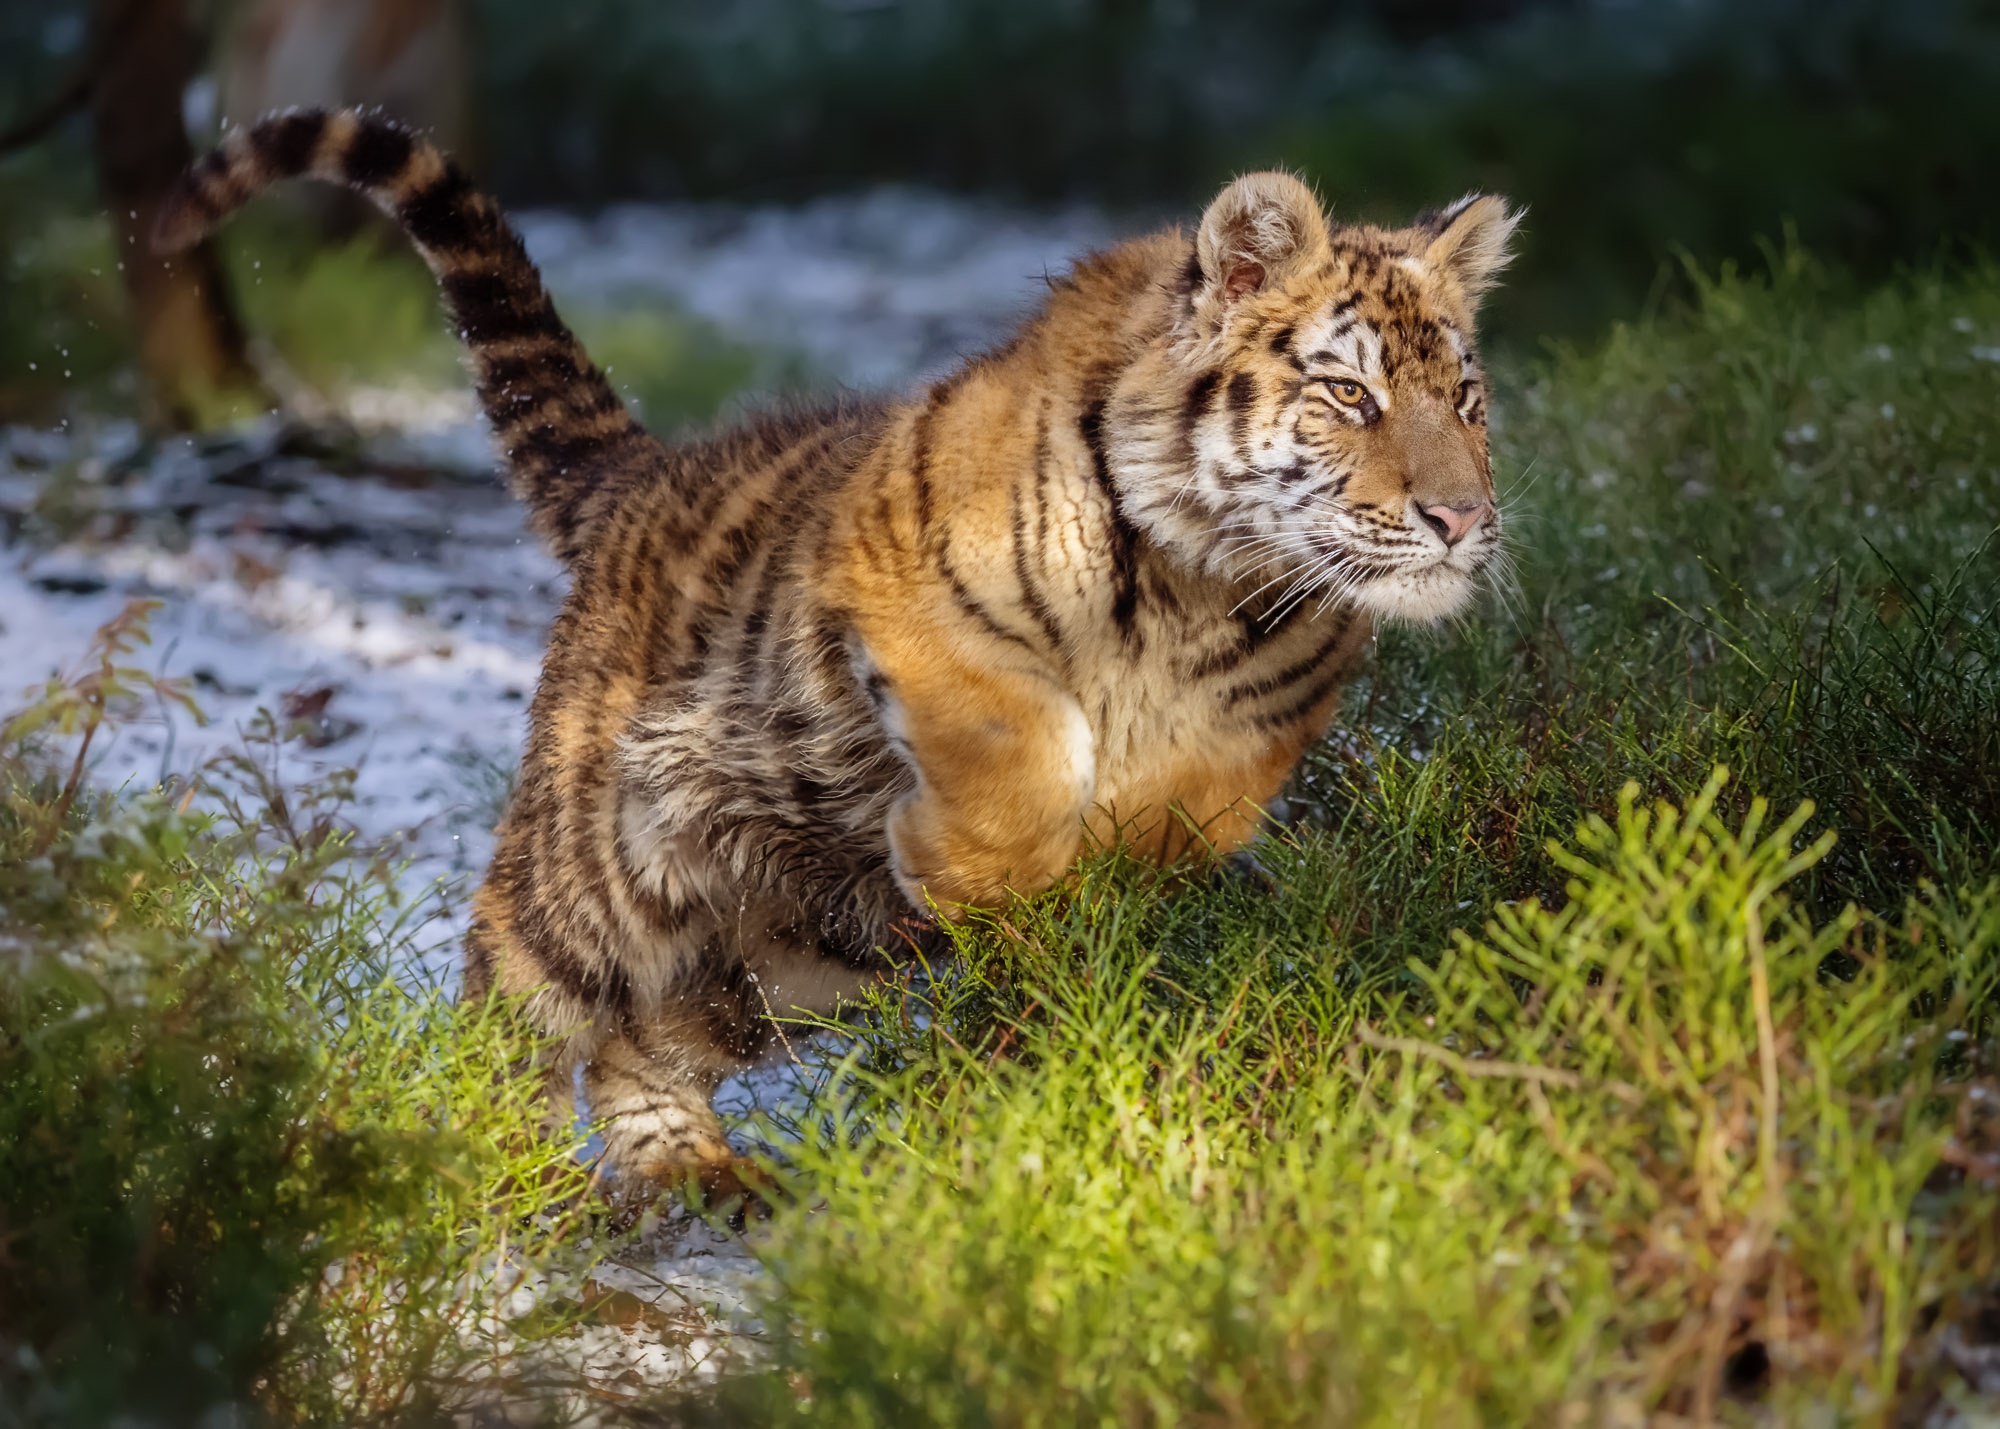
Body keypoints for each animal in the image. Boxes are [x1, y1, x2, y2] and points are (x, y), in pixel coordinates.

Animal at [164, 108, 1512, 1192]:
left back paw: (694, 1175)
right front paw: (988, 876)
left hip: (796, 948)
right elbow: (1013, 736)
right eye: (1350, 397)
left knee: (641, 1044)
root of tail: (646, 479)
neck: (1206, 585)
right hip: (595, 874)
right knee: (517, 997)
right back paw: (481, 1174)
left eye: (1466, 400)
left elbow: (1180, 809)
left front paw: (1100, 909)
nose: (1458, 519)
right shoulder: (911, 592)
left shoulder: (1260, 721)